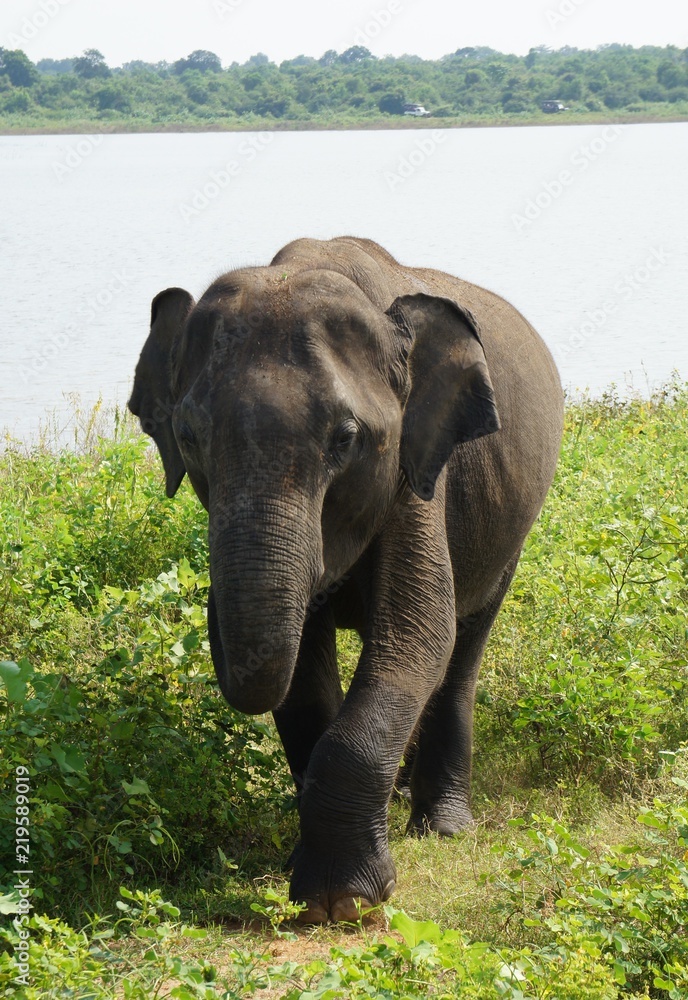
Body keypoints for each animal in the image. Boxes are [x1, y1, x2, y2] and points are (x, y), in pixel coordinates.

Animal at [128, 236, 564, 923]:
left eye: (346, 439)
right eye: (189, 437)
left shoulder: (417, 470)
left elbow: (419, 631)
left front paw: (345, 902)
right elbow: (304, 675)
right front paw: (307, 880)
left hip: (512, 530)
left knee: (462, 648)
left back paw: (442, 828)